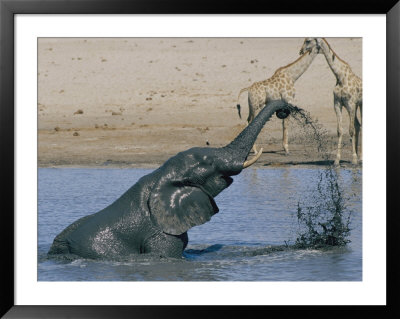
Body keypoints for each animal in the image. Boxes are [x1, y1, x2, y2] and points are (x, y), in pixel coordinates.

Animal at [300, 38, 362, 166]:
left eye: (308, 40)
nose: (301, 51)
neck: (341, 77)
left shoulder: (350, 104)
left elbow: (351, 130)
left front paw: (353, 159)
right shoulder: (338, 104)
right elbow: (340, 131)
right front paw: (337, 160)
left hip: (360, 104)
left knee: (359, 125)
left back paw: (360, 158)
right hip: (355, 106)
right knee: (358, 125)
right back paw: (359, 157)